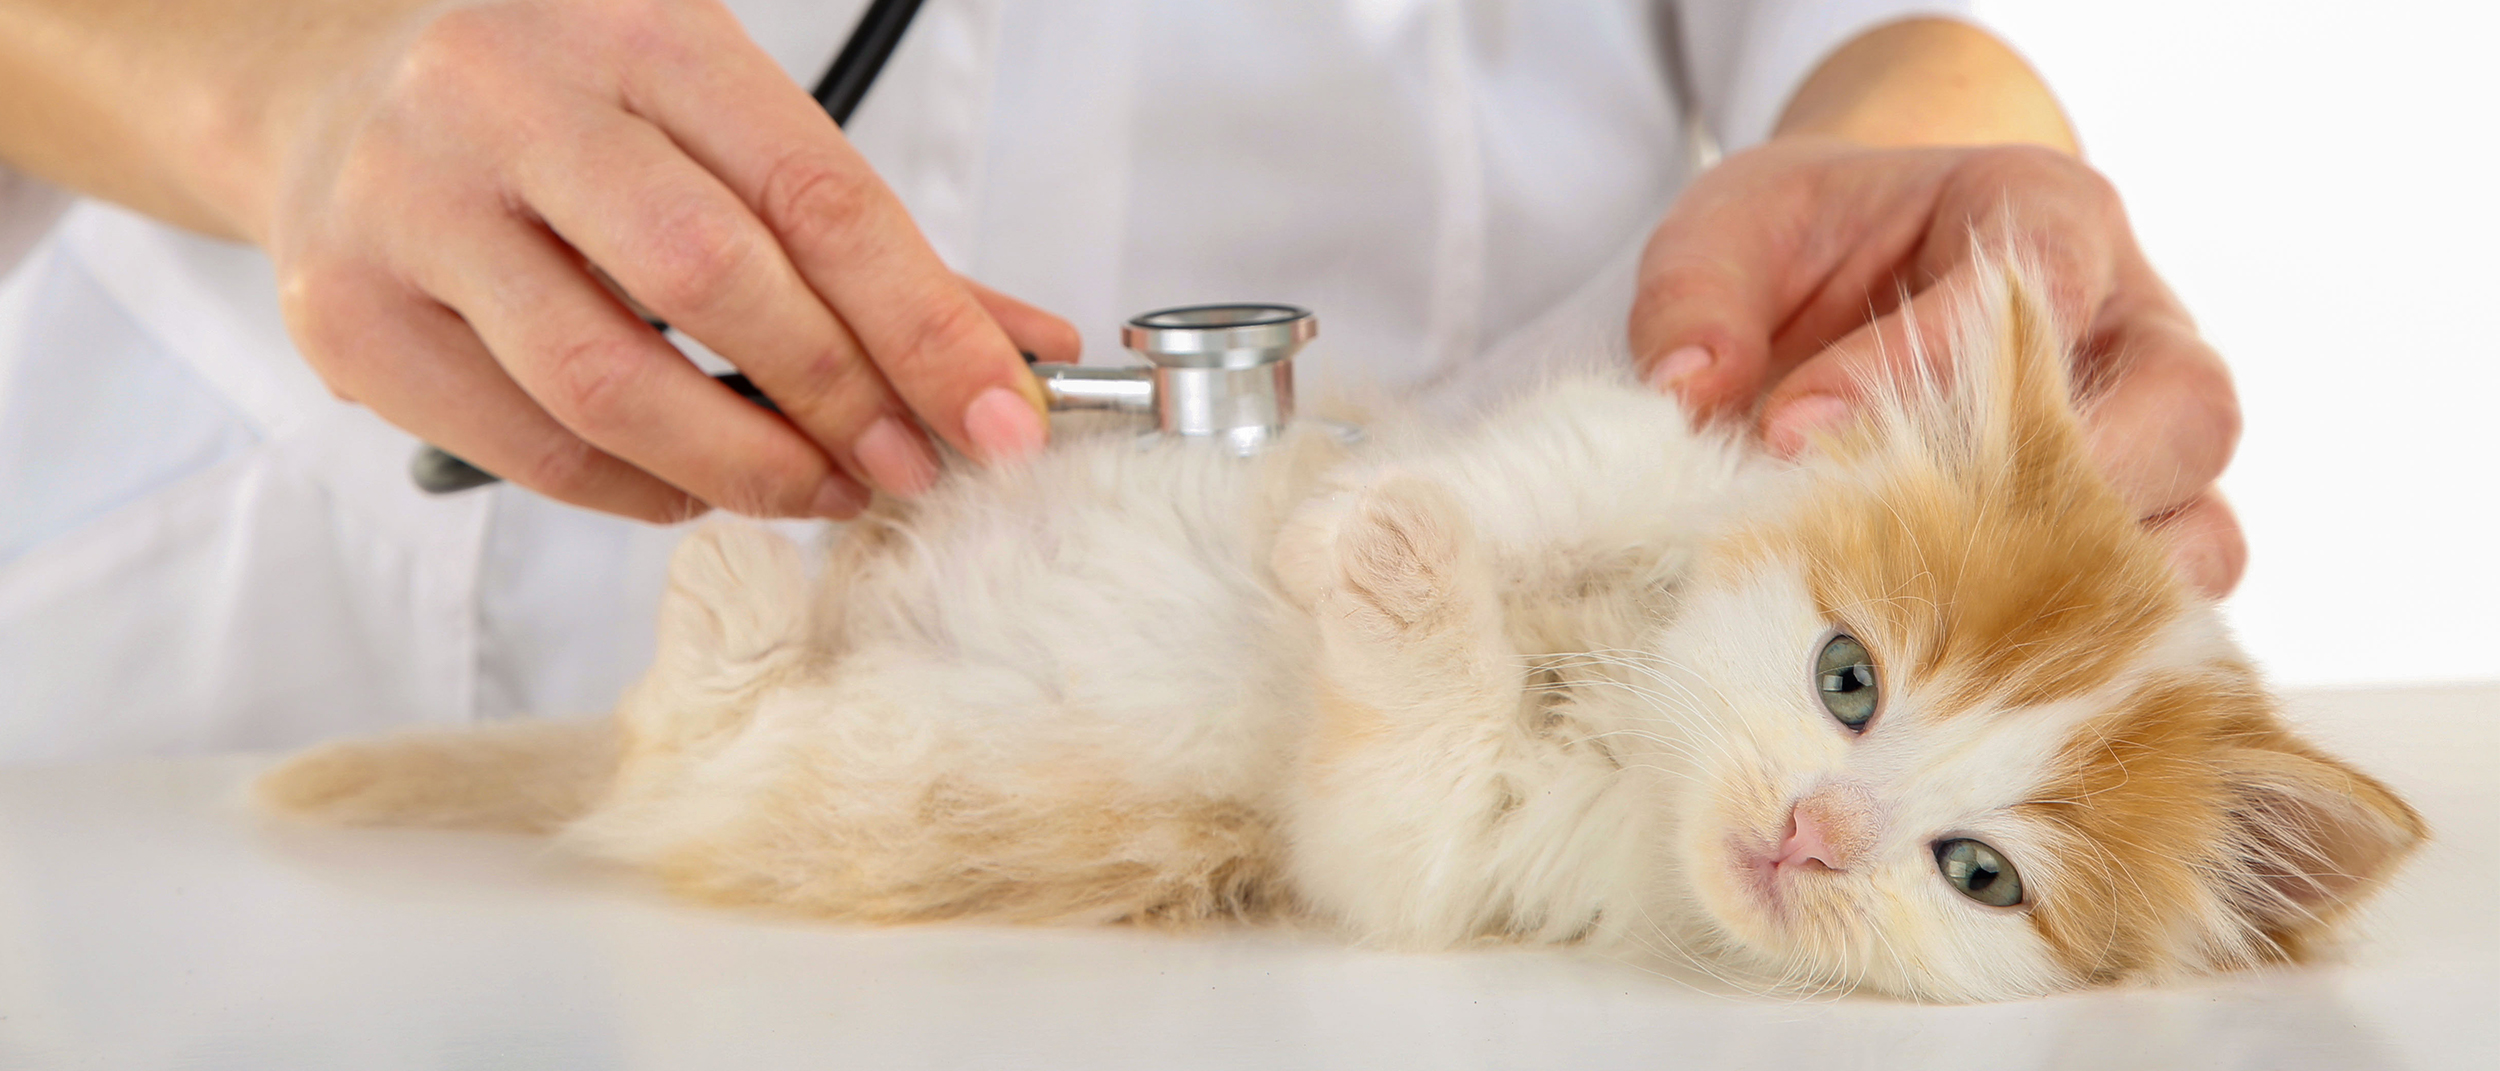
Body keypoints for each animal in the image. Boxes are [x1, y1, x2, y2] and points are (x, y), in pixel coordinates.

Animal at [258, 265, 2420, 1005]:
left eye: (1976, 873)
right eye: (1847, 678)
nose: (1812, 832)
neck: (1633, 722)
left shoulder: (1424, 849)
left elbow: (1414, 744)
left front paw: (1381, 570)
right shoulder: (1641, 440)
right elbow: (1535, 472)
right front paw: (1349, 511)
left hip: (850, 785)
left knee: (683, 742)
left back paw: (732, 586)